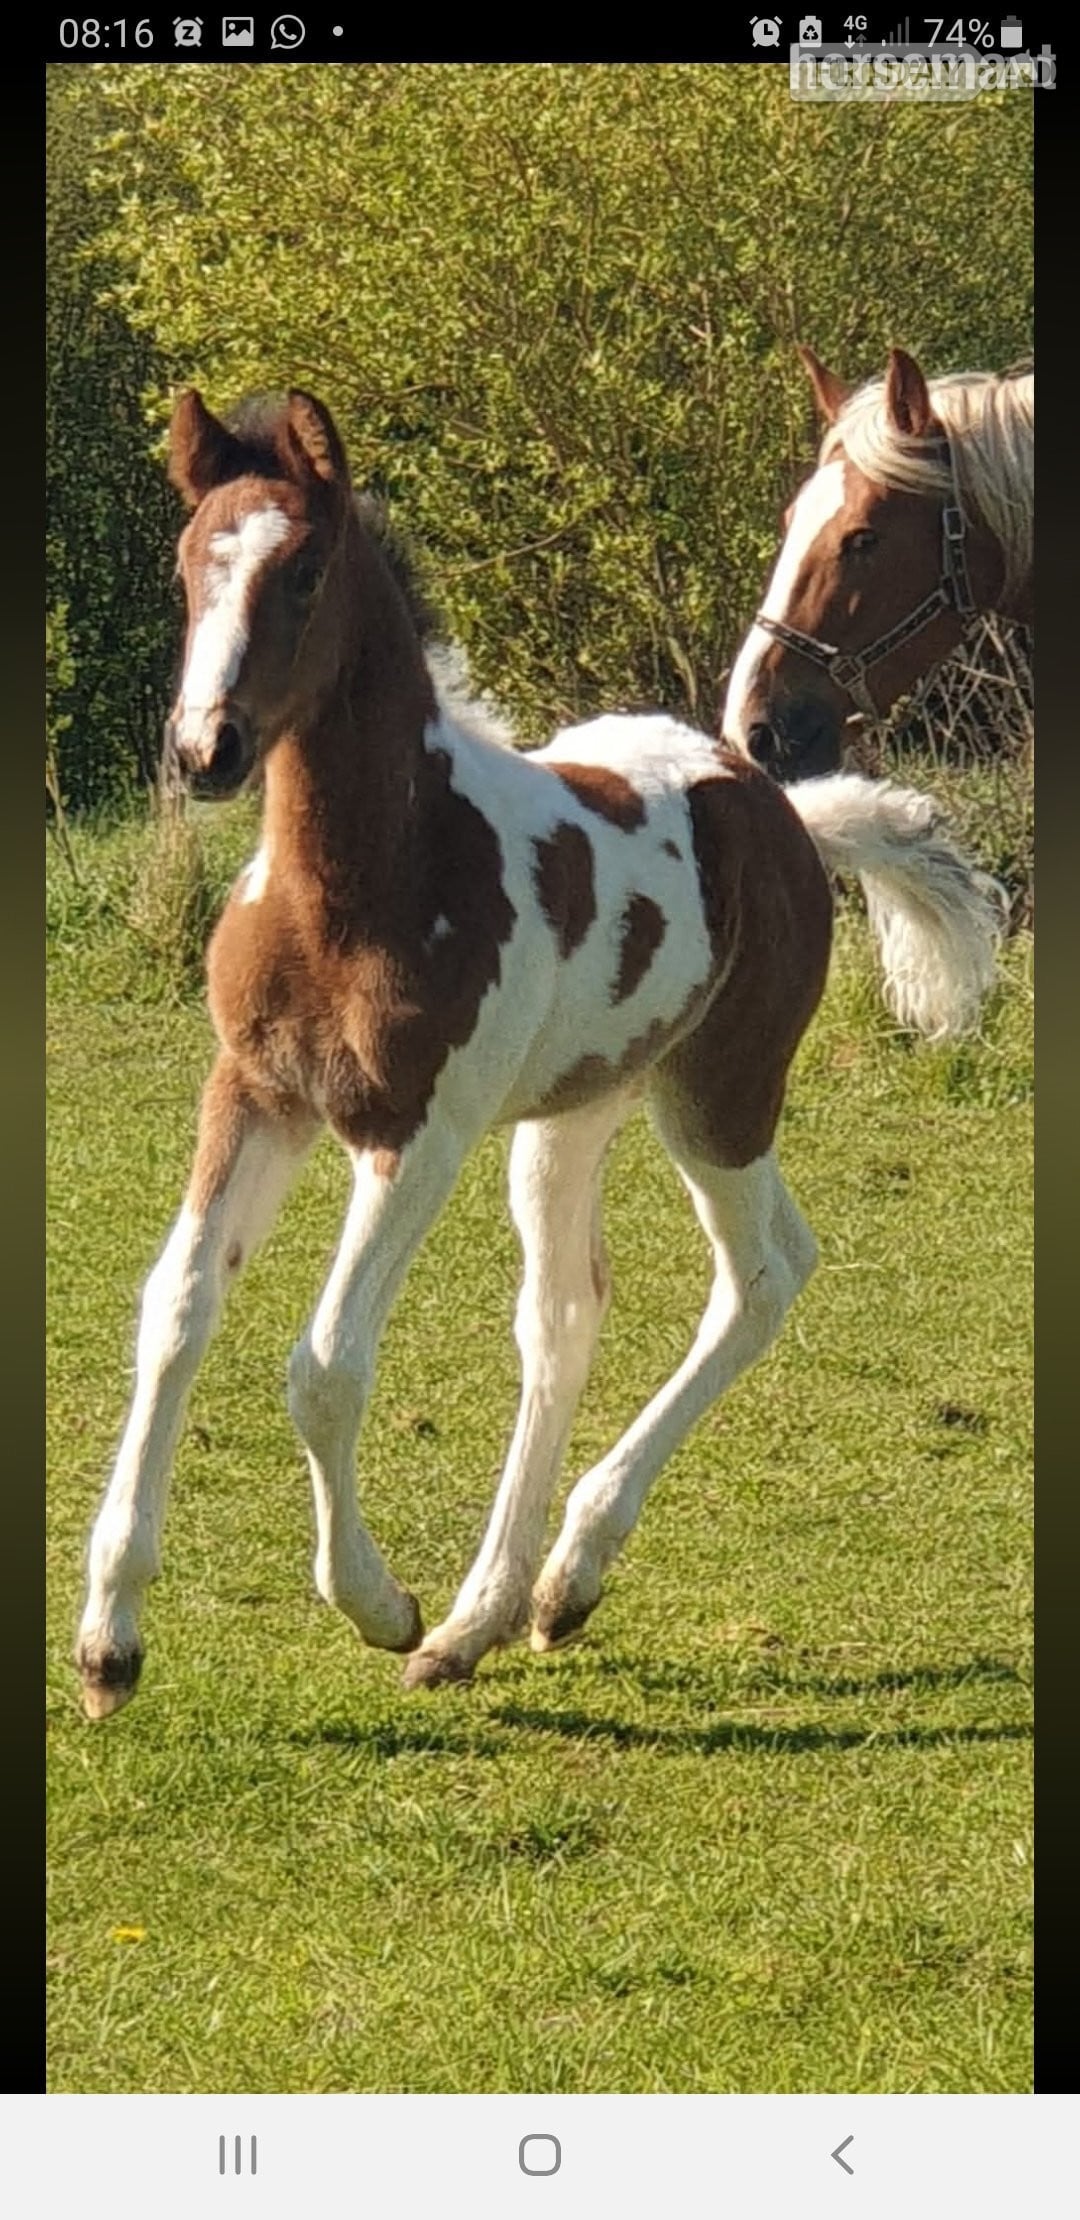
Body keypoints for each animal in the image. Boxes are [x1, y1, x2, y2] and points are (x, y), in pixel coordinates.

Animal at [75, 386, 1004, 1719]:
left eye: (304, 572)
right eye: (191, 563)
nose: (207, 750)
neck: (368, 880)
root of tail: (782, 810)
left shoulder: (417, 1132)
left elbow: (325, 1365)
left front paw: (375, 1603)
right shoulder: (254, 1093)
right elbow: (177, 1309)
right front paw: (108, 1644)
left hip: (718, 1099)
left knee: (766, 1273)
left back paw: (560, 1577)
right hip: (569, 1116)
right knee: (564, 1314)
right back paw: (488, 1613)